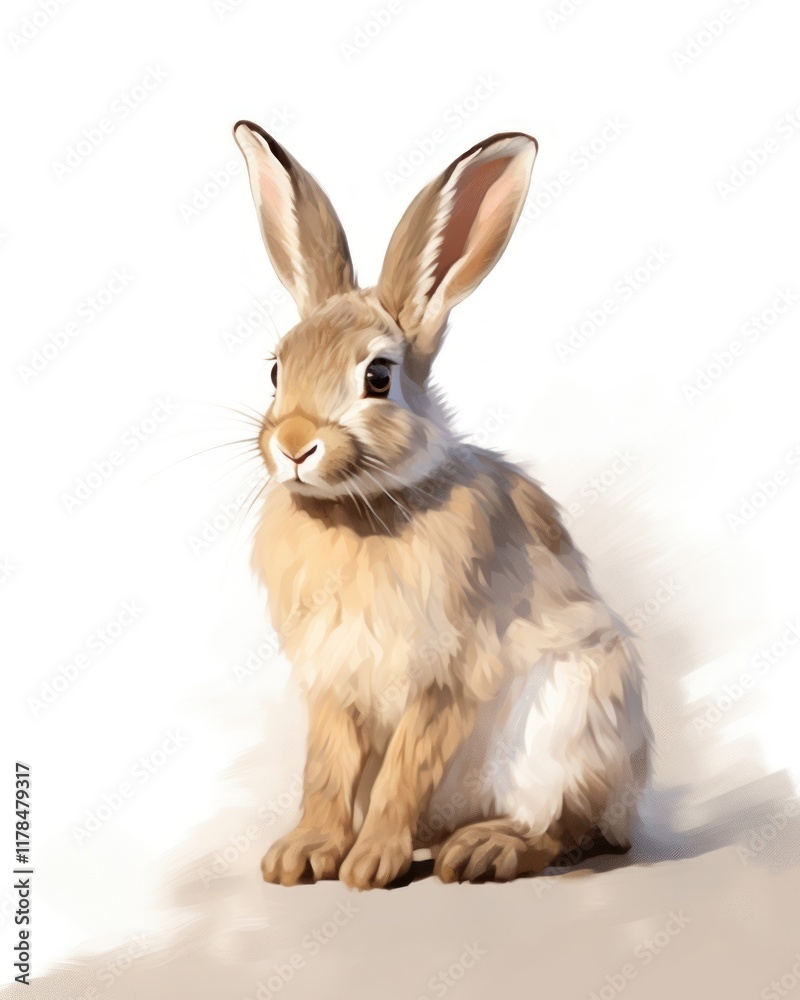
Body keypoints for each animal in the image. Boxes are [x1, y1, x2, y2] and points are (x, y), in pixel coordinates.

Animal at [232, 120, 648, 889]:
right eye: (276, 371)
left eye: (378, 376)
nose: (295, 443)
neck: (360, 510)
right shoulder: (332, 679)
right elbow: (326, 769)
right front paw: (302, 854)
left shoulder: (448, 671)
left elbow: (405, 767)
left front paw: (369, 865)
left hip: (571, 717)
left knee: (564, 825)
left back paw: (484, 848)